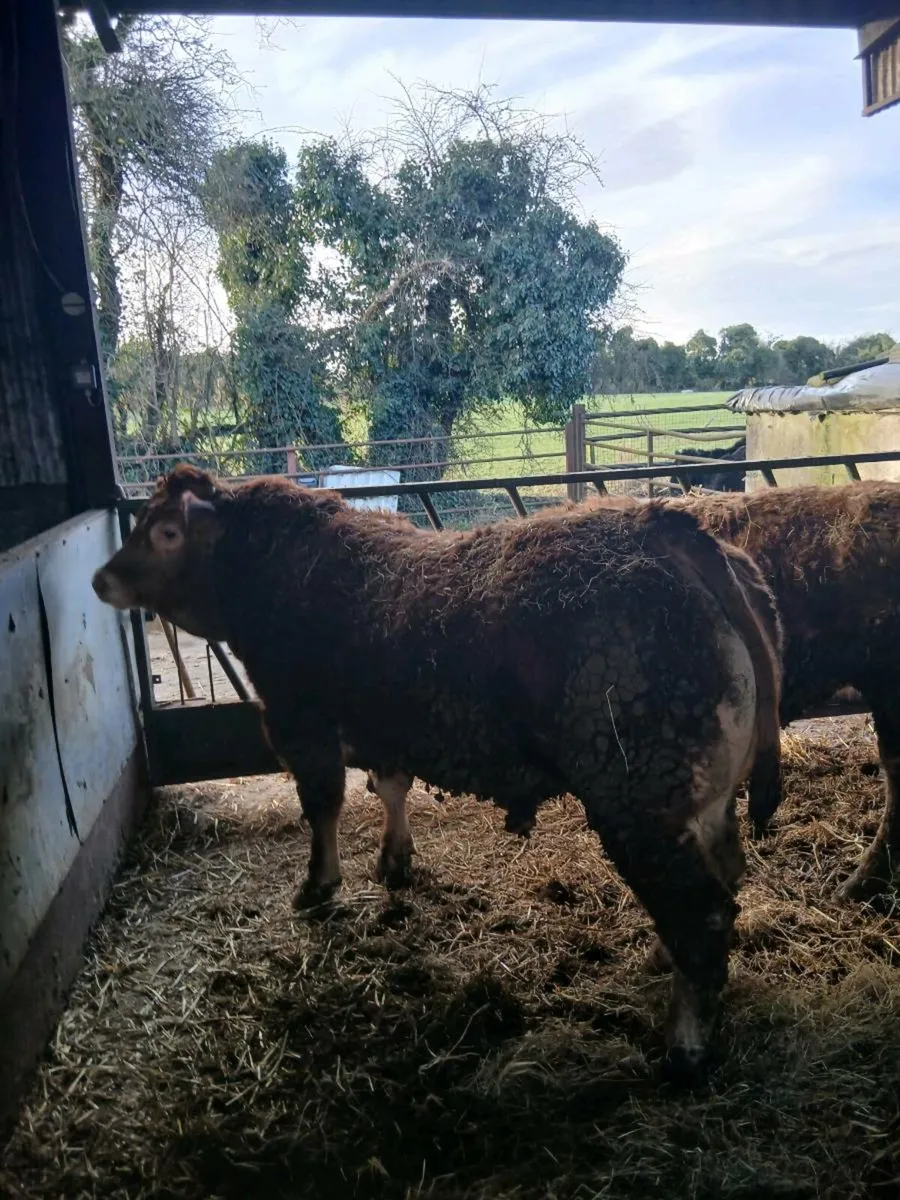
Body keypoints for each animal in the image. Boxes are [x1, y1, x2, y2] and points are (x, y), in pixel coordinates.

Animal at [93, 465, 782, 1076]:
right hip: (703, 799)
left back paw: (686, 1043)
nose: (102, 579)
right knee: (721, 877)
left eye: (167, 533)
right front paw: (395, 861)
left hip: (639, 793)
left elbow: (323, 806)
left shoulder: (300, 720)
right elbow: (390, 787)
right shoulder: (389, 724)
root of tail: (670, 531)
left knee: (702, 912)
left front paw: (319, 885)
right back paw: (667, 963)